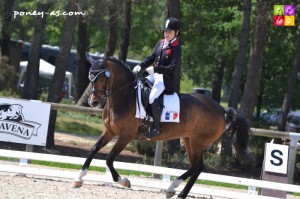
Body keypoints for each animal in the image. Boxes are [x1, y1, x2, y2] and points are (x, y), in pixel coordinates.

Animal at [73, 54, 253, 199]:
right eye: (90, 77)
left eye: (101, 78)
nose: (93, 102)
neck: (124, 97)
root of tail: (221, 109)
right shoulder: (109, 132)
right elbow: (93, 150)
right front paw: (78, 179)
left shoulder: (125, 136)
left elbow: (109, 158)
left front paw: (124, 181)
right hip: (189, 140)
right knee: (196, 167)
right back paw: (172, 189)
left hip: (198, 142)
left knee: (198, 167)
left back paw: (178, 193)